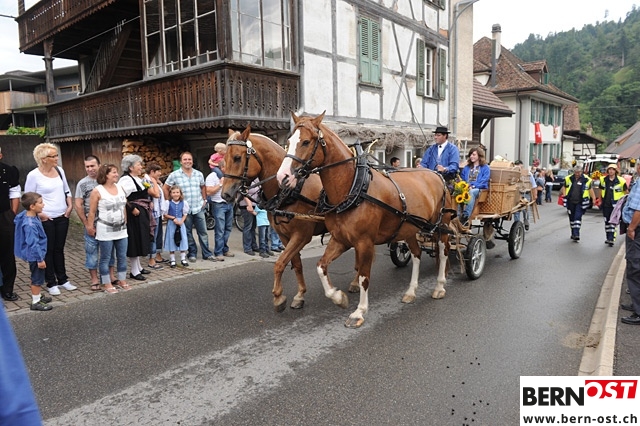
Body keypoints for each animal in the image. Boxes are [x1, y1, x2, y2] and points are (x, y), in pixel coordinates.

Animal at [221, 126, 360, 312]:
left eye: (237, 157)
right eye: (223, 159)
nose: (225, 194)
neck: (290, 191)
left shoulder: (301, 236)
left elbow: (280, 263)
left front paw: (278, 297)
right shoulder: (284, 236)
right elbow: (296, 264)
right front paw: (300, 295)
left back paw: (356, 283)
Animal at [276, 112, 454, 328]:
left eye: (306, 141)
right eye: (288, 141)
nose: (282, 176)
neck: (355, 188)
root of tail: (435, 174)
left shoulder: (364, 243)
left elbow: (363, 277)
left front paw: (359, 311)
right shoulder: (340, 239)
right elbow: (320, 266)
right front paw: (338, 297)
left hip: (441, 226)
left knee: (443, 253)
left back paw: (439, 287)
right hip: (410, 228)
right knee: (417, 254)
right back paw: (411, 291)